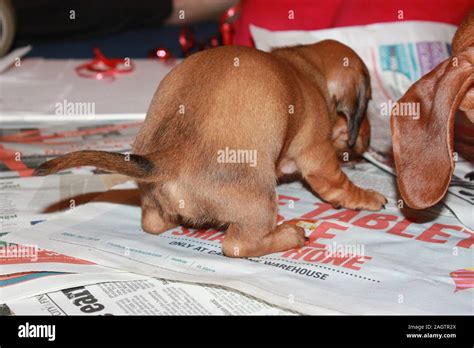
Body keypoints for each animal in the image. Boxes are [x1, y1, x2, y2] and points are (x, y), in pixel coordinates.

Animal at [36, 41, 386, 258]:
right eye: (367, 102)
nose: (370, 142)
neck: (305, 67)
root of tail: (170, 156)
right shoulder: (318, 157)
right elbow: (339, 185)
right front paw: (367, 196)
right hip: (260, 201)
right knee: (237, 245)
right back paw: (290, 234)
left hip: (150, 196)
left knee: (152, 222)